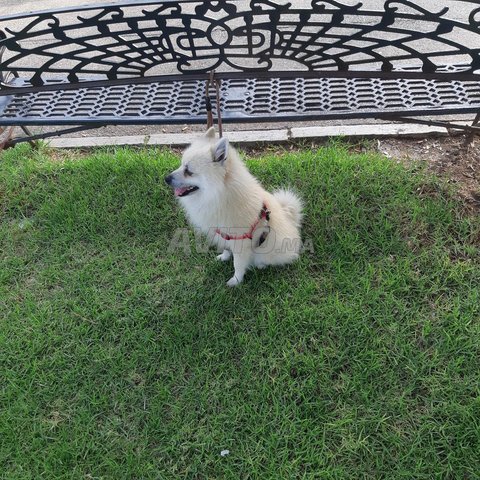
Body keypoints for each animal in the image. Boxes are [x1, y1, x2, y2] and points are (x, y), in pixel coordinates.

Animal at [165, 127, 303, 286]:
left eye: (189, 171)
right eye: (181, 165)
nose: (166, 178)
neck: (220, 195)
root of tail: (292, 221)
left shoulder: (240, 242)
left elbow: (238, 264)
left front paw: (235, 281)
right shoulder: (224, 234)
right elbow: (226, 248)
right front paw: (224, 257)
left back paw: (261, 264)